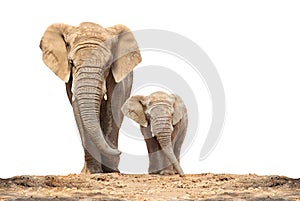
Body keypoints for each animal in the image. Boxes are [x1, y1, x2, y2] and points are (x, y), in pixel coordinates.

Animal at [39, 21, 142, 173]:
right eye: (71, 63)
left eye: (108, 64)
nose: (120, 152)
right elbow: (78, 110)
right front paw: (92, 172)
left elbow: (113, 107)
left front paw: (111, 171)